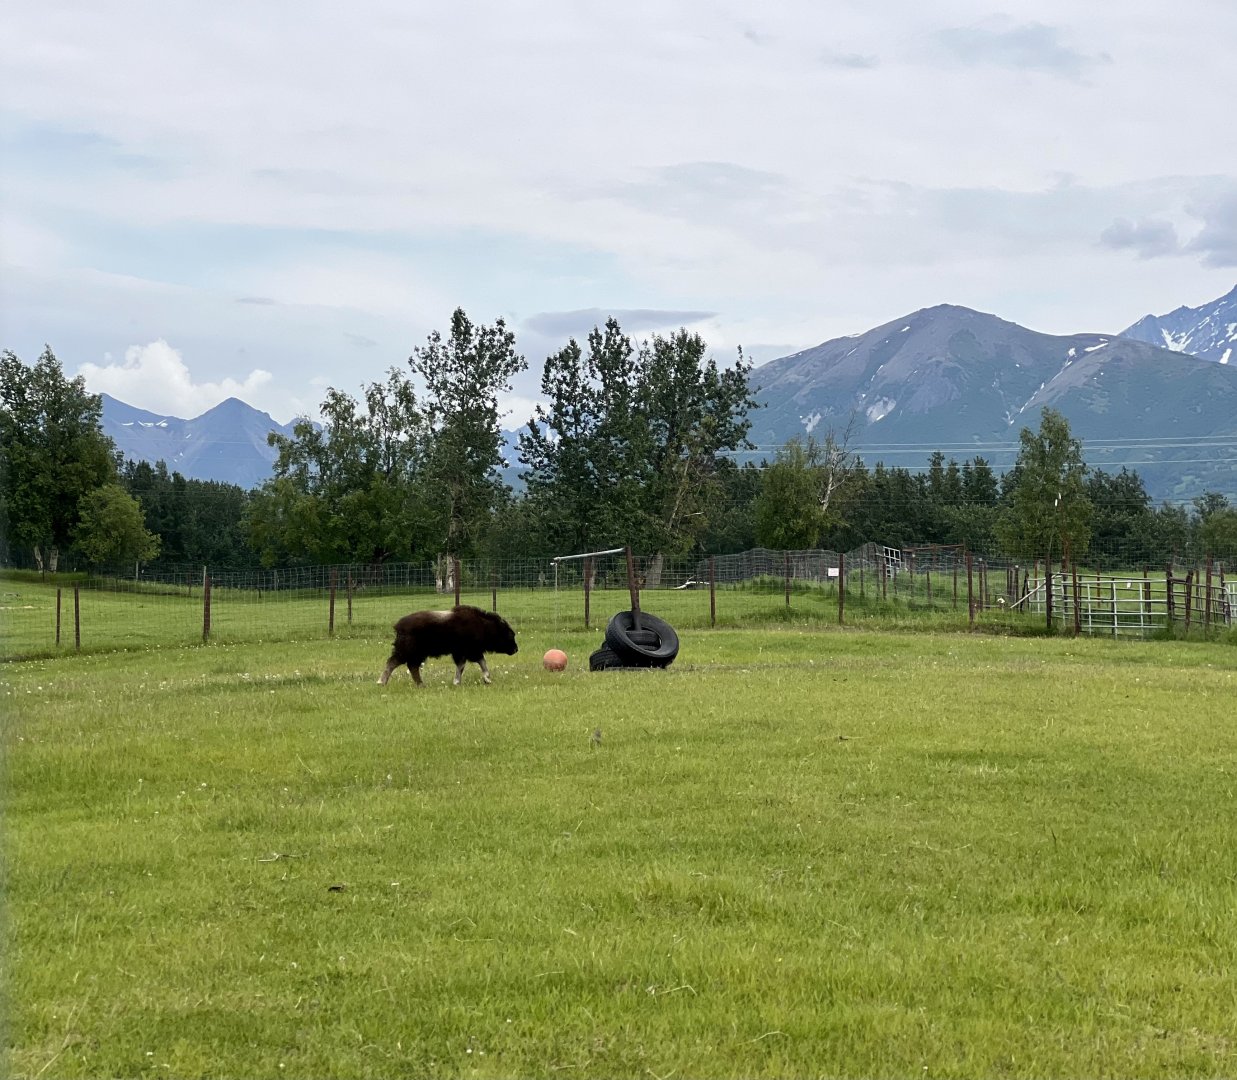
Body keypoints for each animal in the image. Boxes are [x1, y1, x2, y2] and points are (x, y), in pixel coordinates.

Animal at [378, 606, 518, 687]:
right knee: (393, 662)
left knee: (412, 667)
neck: (484, 626)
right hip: (408, 651)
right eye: (509, 634)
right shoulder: (468, 651)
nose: (516, 649)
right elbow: (475, 663)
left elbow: (466, 665)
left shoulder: (465, 652)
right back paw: (381, 682)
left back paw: (421, 684)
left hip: (417, 654)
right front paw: (486, 679)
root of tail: (398, 626)